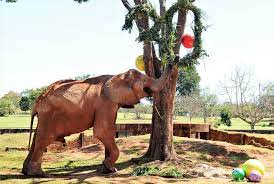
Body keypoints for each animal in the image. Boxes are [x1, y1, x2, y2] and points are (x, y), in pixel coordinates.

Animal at [23, 64, 173, 176]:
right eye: (144, 81)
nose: (174, 59)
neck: (116, 75)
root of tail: (38, 101)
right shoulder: (105, 103)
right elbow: (102, 131)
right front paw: (109, 168)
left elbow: (109, 131)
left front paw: (106, 169)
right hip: (49, 115)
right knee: (44, 139)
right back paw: (38, 174)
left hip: (44, 117)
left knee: (36, 138)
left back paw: (27, 172)